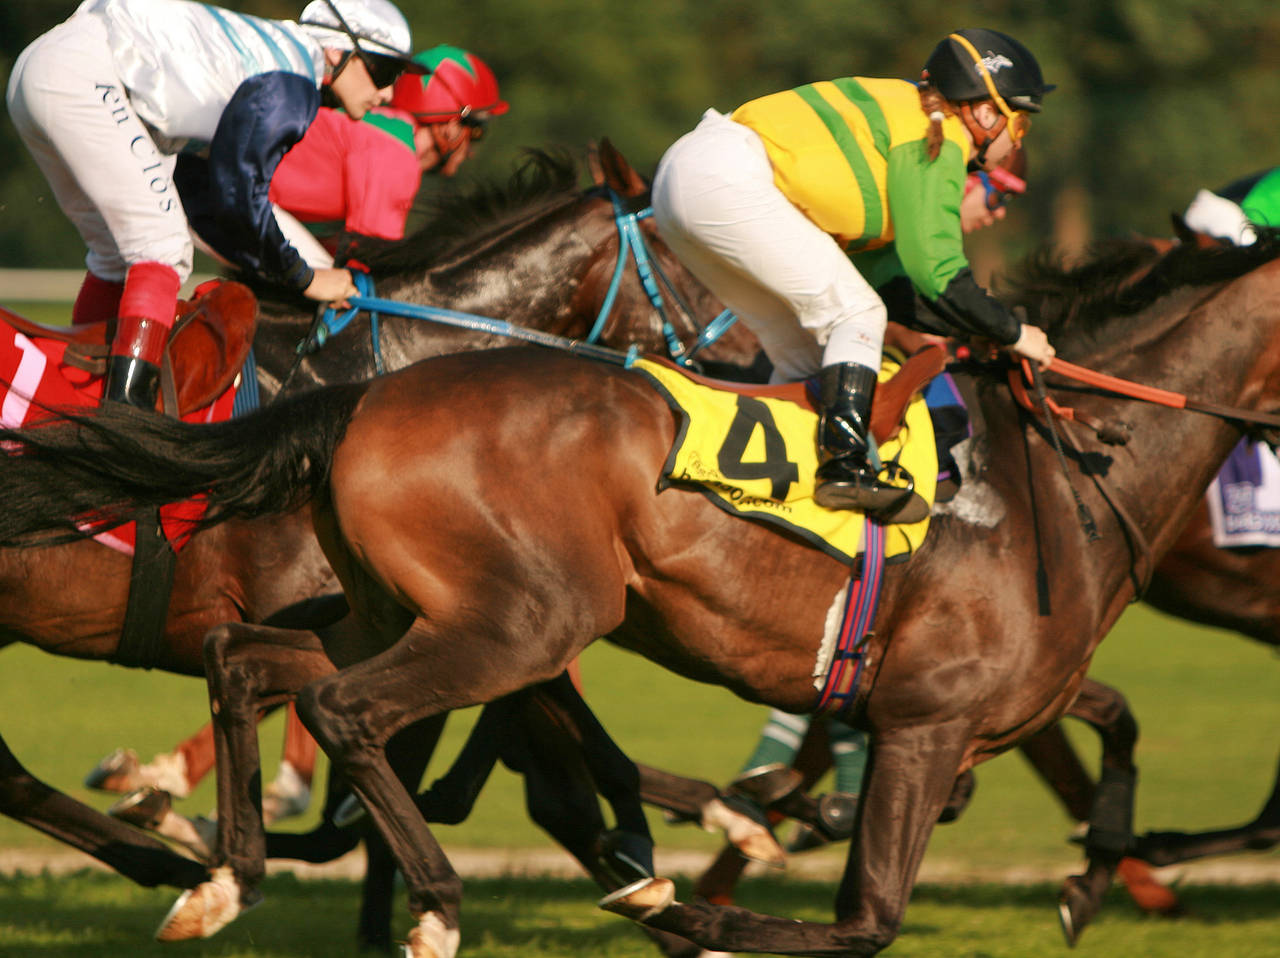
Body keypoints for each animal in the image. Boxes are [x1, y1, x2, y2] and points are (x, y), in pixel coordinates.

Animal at [2, 230, 1280, 952]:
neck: (1059, 477)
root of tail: (359, 399)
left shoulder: (955, 723)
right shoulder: (927, 720)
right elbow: (863, 920)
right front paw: (681, 896)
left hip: (411, 615)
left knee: (251, 666)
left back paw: (216, 873)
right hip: (523, 625)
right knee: (341, 711)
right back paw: (427, 903)